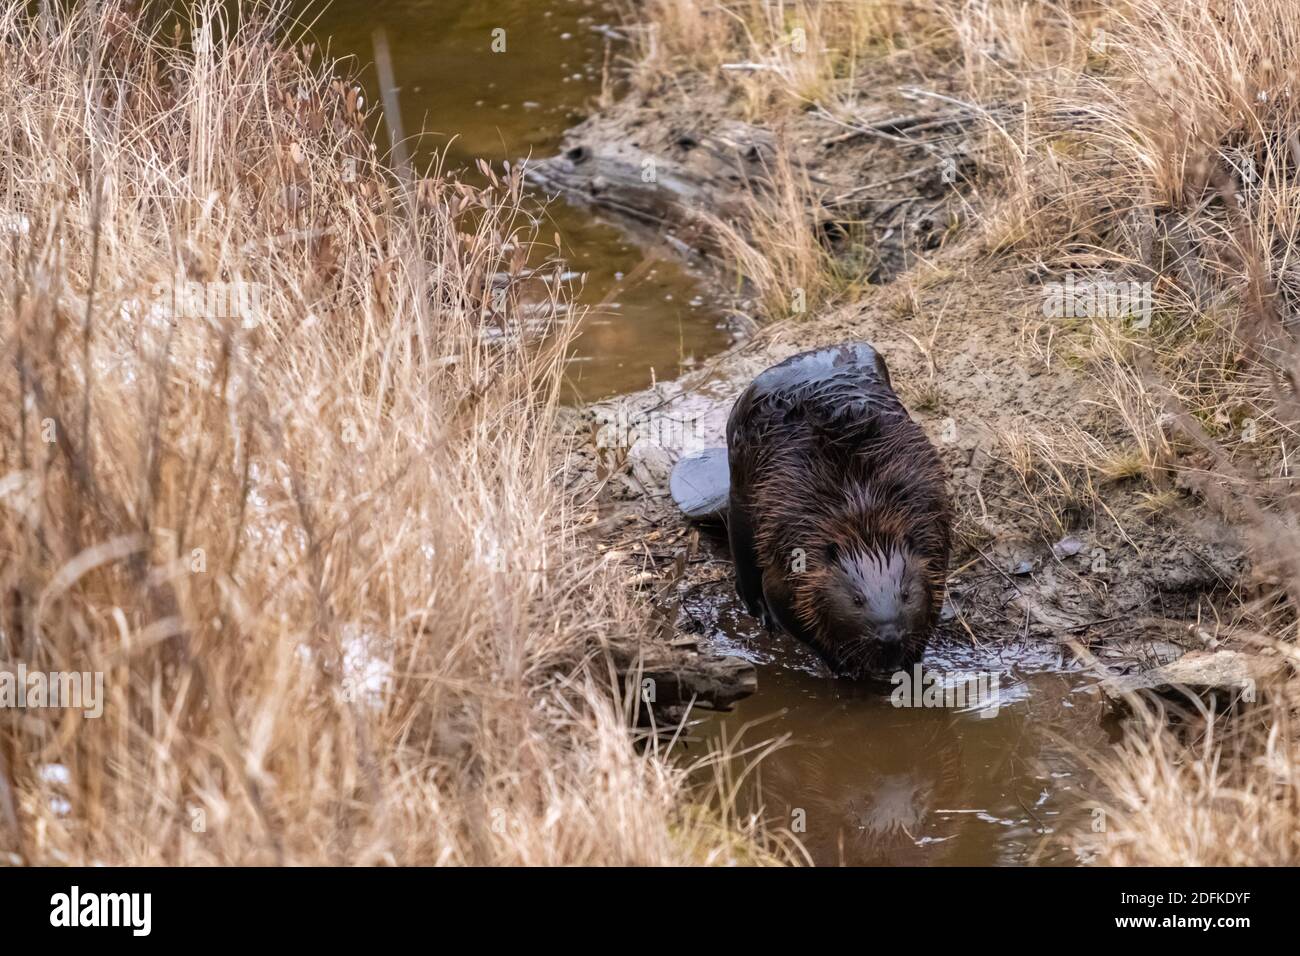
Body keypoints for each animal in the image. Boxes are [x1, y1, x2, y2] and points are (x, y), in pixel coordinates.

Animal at [728, 340, 951, 676]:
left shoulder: (932, 536)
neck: (860, 508)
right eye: (857, 599)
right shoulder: (789, 547)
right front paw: (845, 667)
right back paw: (759, 612)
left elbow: (933, 597)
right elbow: (785, 603)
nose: (889, 636)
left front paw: (909, 662)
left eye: (905, 594)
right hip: (739, 482)